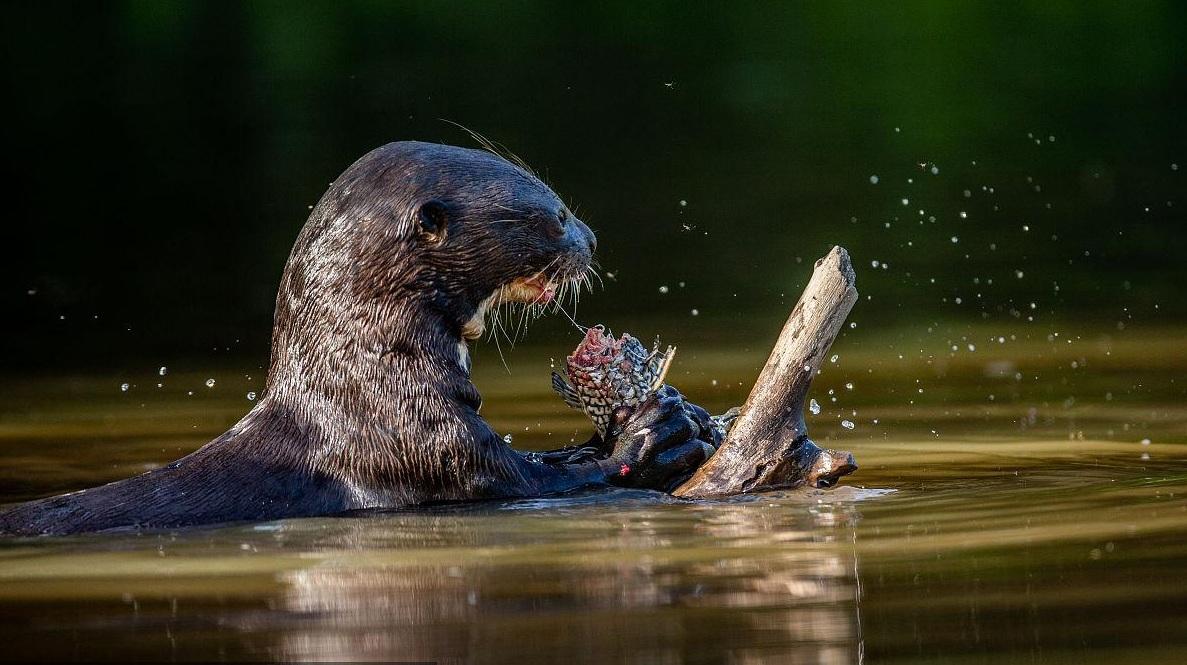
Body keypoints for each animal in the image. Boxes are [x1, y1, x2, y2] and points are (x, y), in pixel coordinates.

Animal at [0, 143, 712, 536]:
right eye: (558, 214)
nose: (590, 238)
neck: (369, 385)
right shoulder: (423, 444)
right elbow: (529, 480)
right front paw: (656, 435)